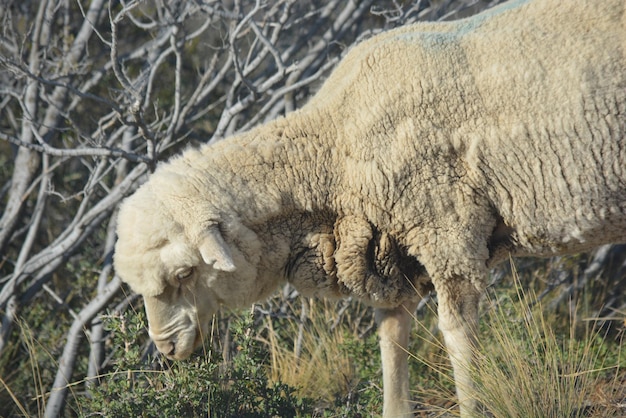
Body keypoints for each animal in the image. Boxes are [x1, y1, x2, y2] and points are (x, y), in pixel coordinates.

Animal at [112, 0, 624, 416]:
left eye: (184, 274)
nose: (166, 349)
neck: (334, 149)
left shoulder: (448, 235)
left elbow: (458, 339)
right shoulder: (389, 253)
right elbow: (392, 343)